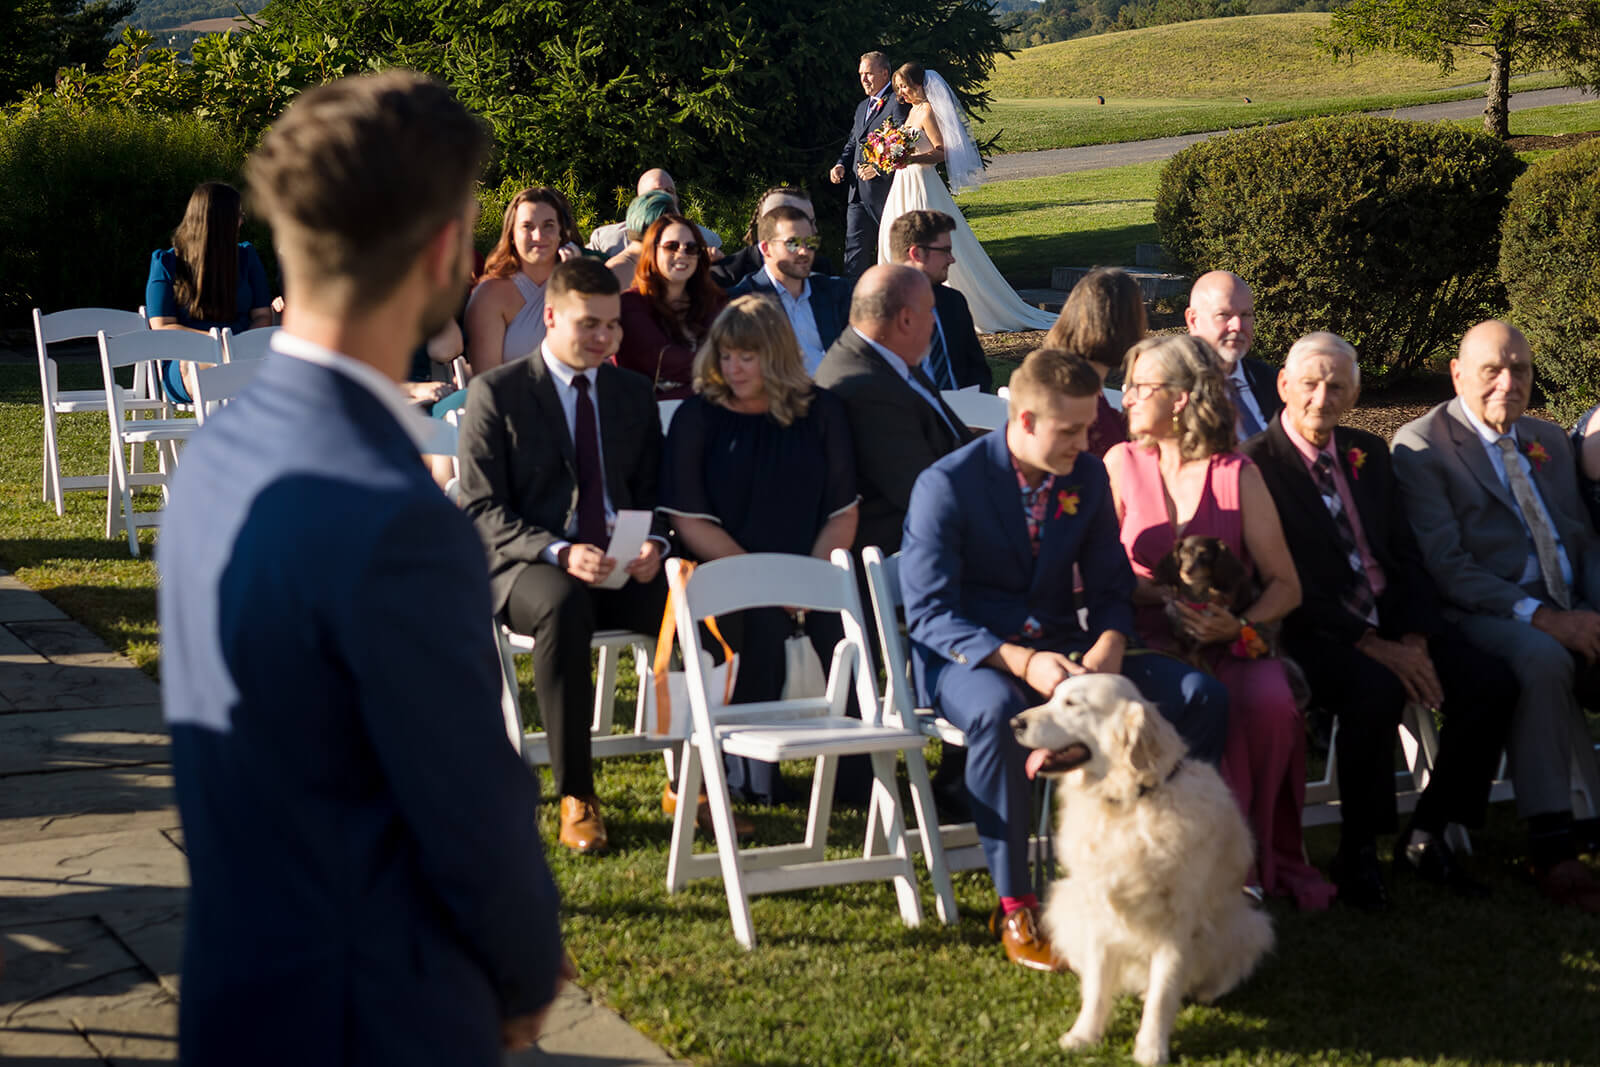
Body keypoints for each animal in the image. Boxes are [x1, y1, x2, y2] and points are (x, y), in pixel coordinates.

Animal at [1017, 681, 1267, 1062]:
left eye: (1072, 703)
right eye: (1052, 696)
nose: (1014, 723)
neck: (1130, 804)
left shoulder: (1175, 923)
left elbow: (1163, 994)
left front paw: (1150, 1048)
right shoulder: (1099, 913)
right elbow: (1097, 986)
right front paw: (1084, 1034)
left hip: (1247, 924)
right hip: (1064, 903)